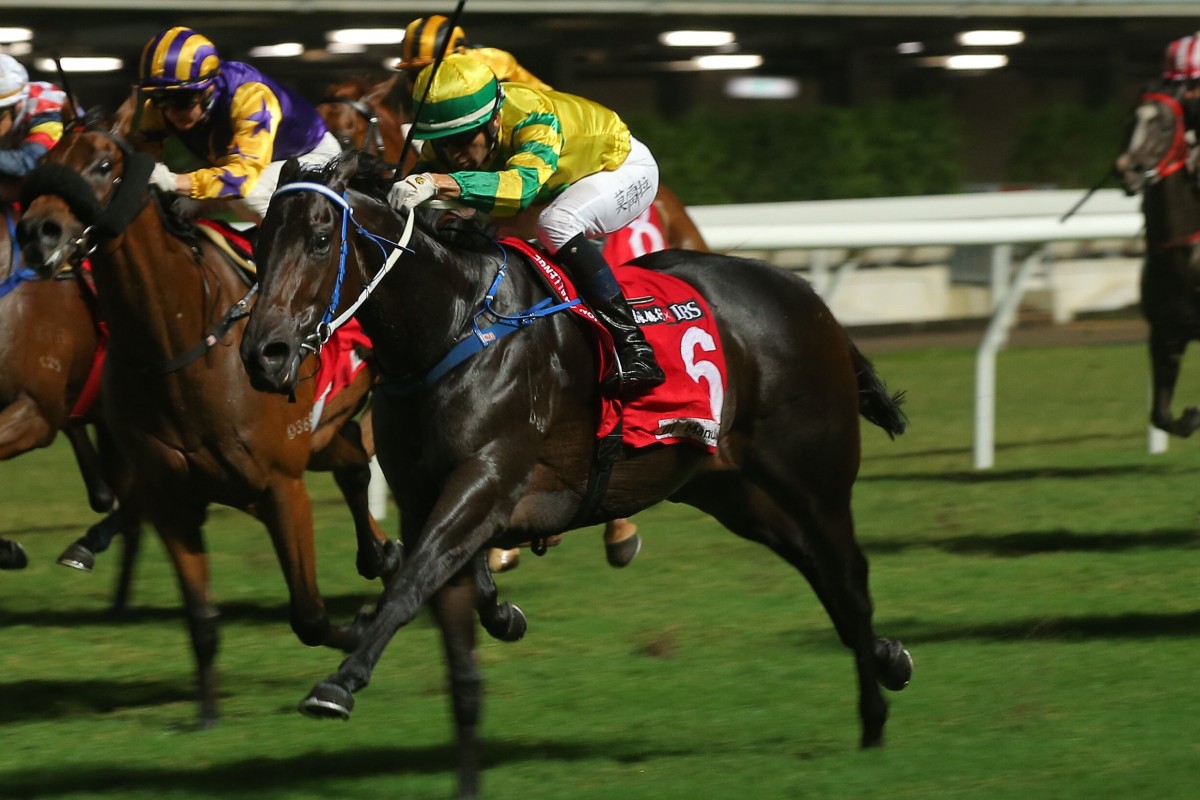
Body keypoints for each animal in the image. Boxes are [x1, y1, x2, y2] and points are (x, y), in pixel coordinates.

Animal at [16, 115, 403, 729]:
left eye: (102, 164)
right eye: (48, 158)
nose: (37, 232)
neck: (177, 346)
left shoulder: (281, 487)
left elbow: (309, 613)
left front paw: (361, 630)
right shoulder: (169, 499)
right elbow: (201, 618)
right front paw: (206, 713)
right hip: (327, 431)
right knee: (353, 466)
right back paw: (383, 552)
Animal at [238, 153, 907, 796]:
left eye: (320, 239)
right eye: (260, 242)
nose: (263, 354)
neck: (454, 327)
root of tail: (806, 296)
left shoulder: (482, 483)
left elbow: (407, 585)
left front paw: (339, 683)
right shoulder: (432, 501)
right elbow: (455, 652)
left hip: (812, 479)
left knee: (849, 575)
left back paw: (875, 717)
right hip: (735, 492)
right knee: (818, 568)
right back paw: (888, 658)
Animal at [1108, 86, 1200, 434]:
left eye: (1165, 125)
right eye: (1128, 122)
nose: (1128, 168)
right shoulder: (1165, 334)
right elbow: (1160, 415)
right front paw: (1190, 416)